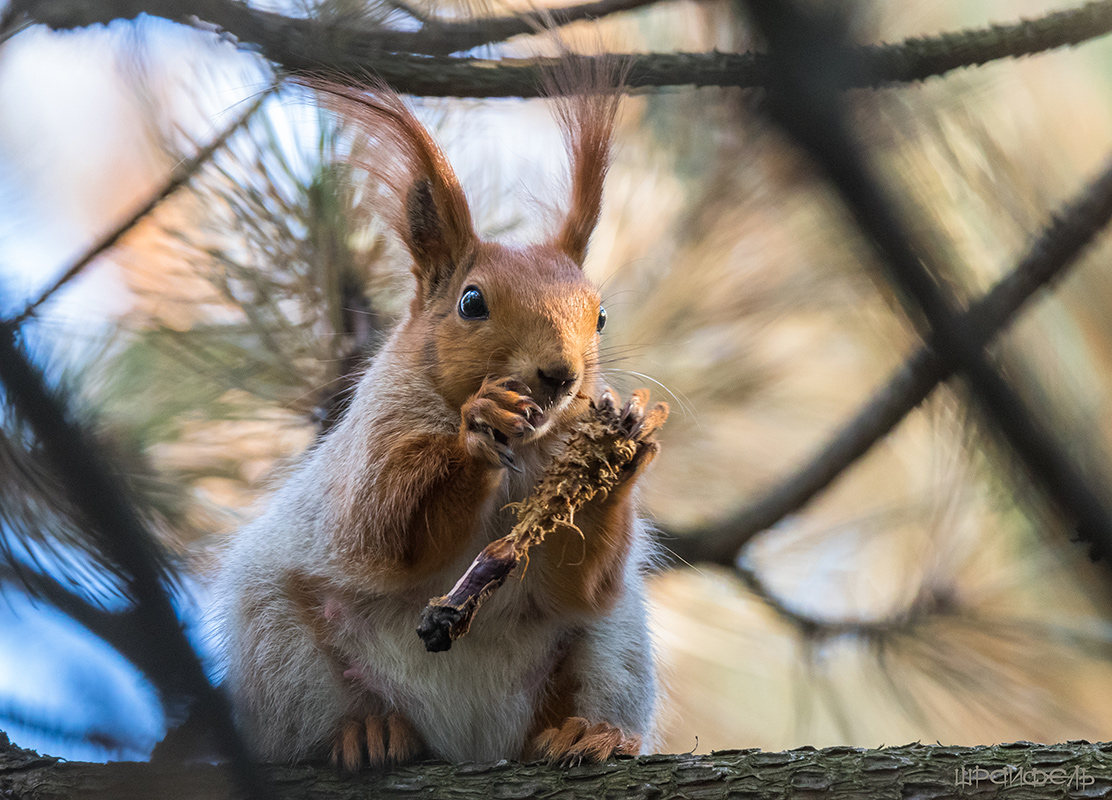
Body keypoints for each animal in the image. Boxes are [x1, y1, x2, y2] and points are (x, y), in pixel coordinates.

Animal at [213, 68, 662, 769]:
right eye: (471, 302)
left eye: (601, 316)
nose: (560, 374)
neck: (525, 453)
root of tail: (467, 737)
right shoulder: (370, 441)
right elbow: (383, 523)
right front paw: (478, 427)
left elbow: (577, 582)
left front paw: (621, 456)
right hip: (278, 644)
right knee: (316, 714)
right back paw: (367, 732)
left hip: (614, 649)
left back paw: (586, 733)